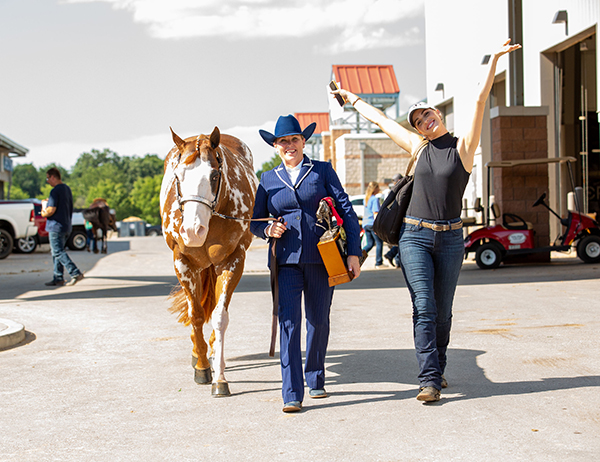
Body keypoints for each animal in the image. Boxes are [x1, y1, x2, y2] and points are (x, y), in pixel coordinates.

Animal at [159, 125, 258, 398]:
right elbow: (196, 315)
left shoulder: (233, 260)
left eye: (214, 175)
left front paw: (219, 379)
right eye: (178, 175)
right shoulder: (182, 261)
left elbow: (219, 317)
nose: (193, 231)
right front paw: (202, 368)